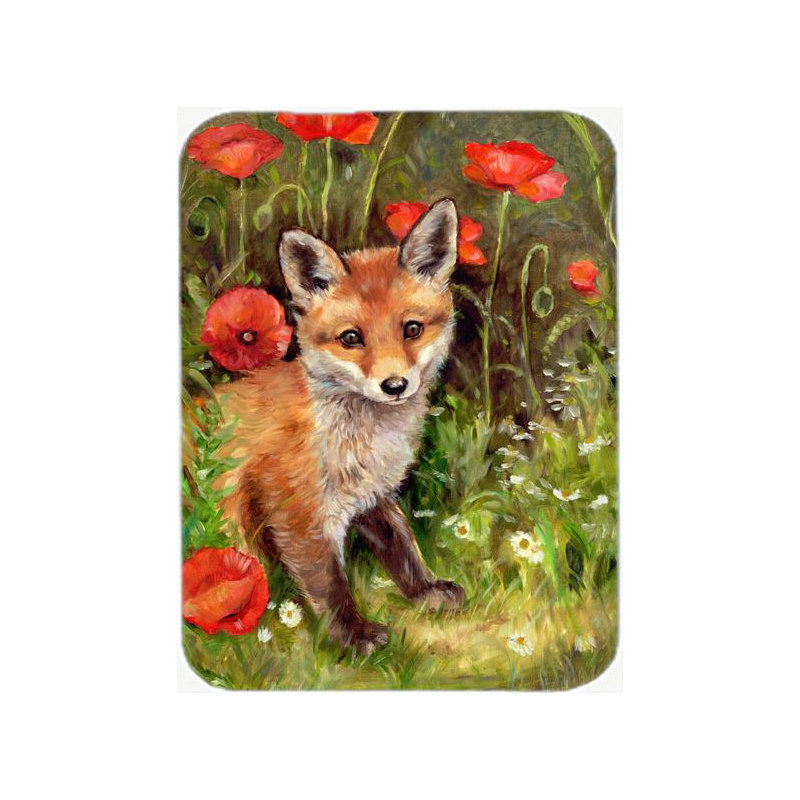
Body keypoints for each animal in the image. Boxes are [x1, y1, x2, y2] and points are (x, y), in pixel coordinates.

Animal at [217, 198, 466, 653]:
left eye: (413, 329)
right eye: (351, 338)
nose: (394, 386)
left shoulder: (373, 495)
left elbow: (402, 547)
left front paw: (425, 590)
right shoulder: (296, 512)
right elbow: (330, 585)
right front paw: (354, 636)